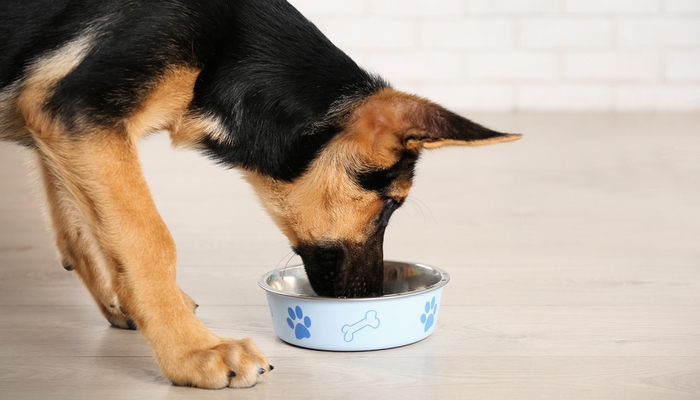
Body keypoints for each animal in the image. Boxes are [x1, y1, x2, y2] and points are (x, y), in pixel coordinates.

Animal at [0, 0, 520, 390]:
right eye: (392, 204)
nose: (370, 299)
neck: (229, 54)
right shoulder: (79, 110)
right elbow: (147, 238)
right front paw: (193, 350)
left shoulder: (58, 126)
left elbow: (82, 231)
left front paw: (128, 305)